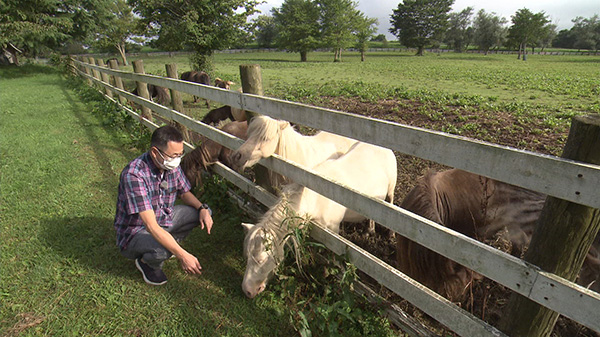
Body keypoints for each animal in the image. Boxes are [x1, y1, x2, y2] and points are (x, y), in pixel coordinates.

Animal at [241, 141, 396, 296]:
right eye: (247, 256)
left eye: (261, 260)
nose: (247, 290)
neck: (313, 197)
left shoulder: (333, 229)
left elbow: (333, 254)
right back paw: (369, 231)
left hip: (390, 190)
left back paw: (391, 235)